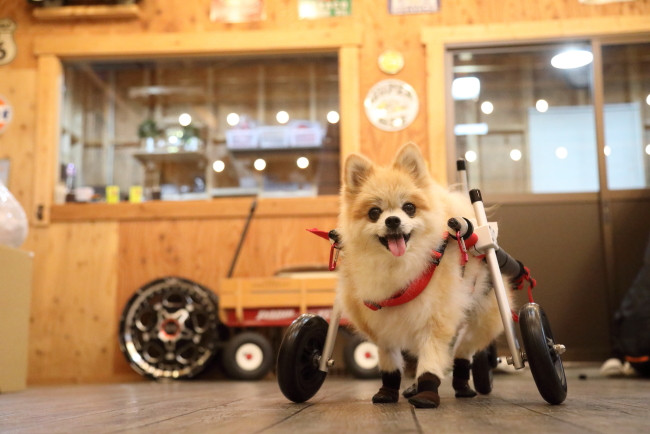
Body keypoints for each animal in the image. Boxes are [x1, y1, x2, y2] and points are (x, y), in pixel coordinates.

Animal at [334, 144, 512, 408]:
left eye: (409, 208)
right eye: (374, 212)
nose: (393, 220)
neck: (398, 268)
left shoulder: (435, 318)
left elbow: (431, 358)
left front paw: (427, 393)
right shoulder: (381, 325)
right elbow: (389, 360)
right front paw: (388, 391)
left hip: (484, 319)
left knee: (463, 350)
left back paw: (462, 386)